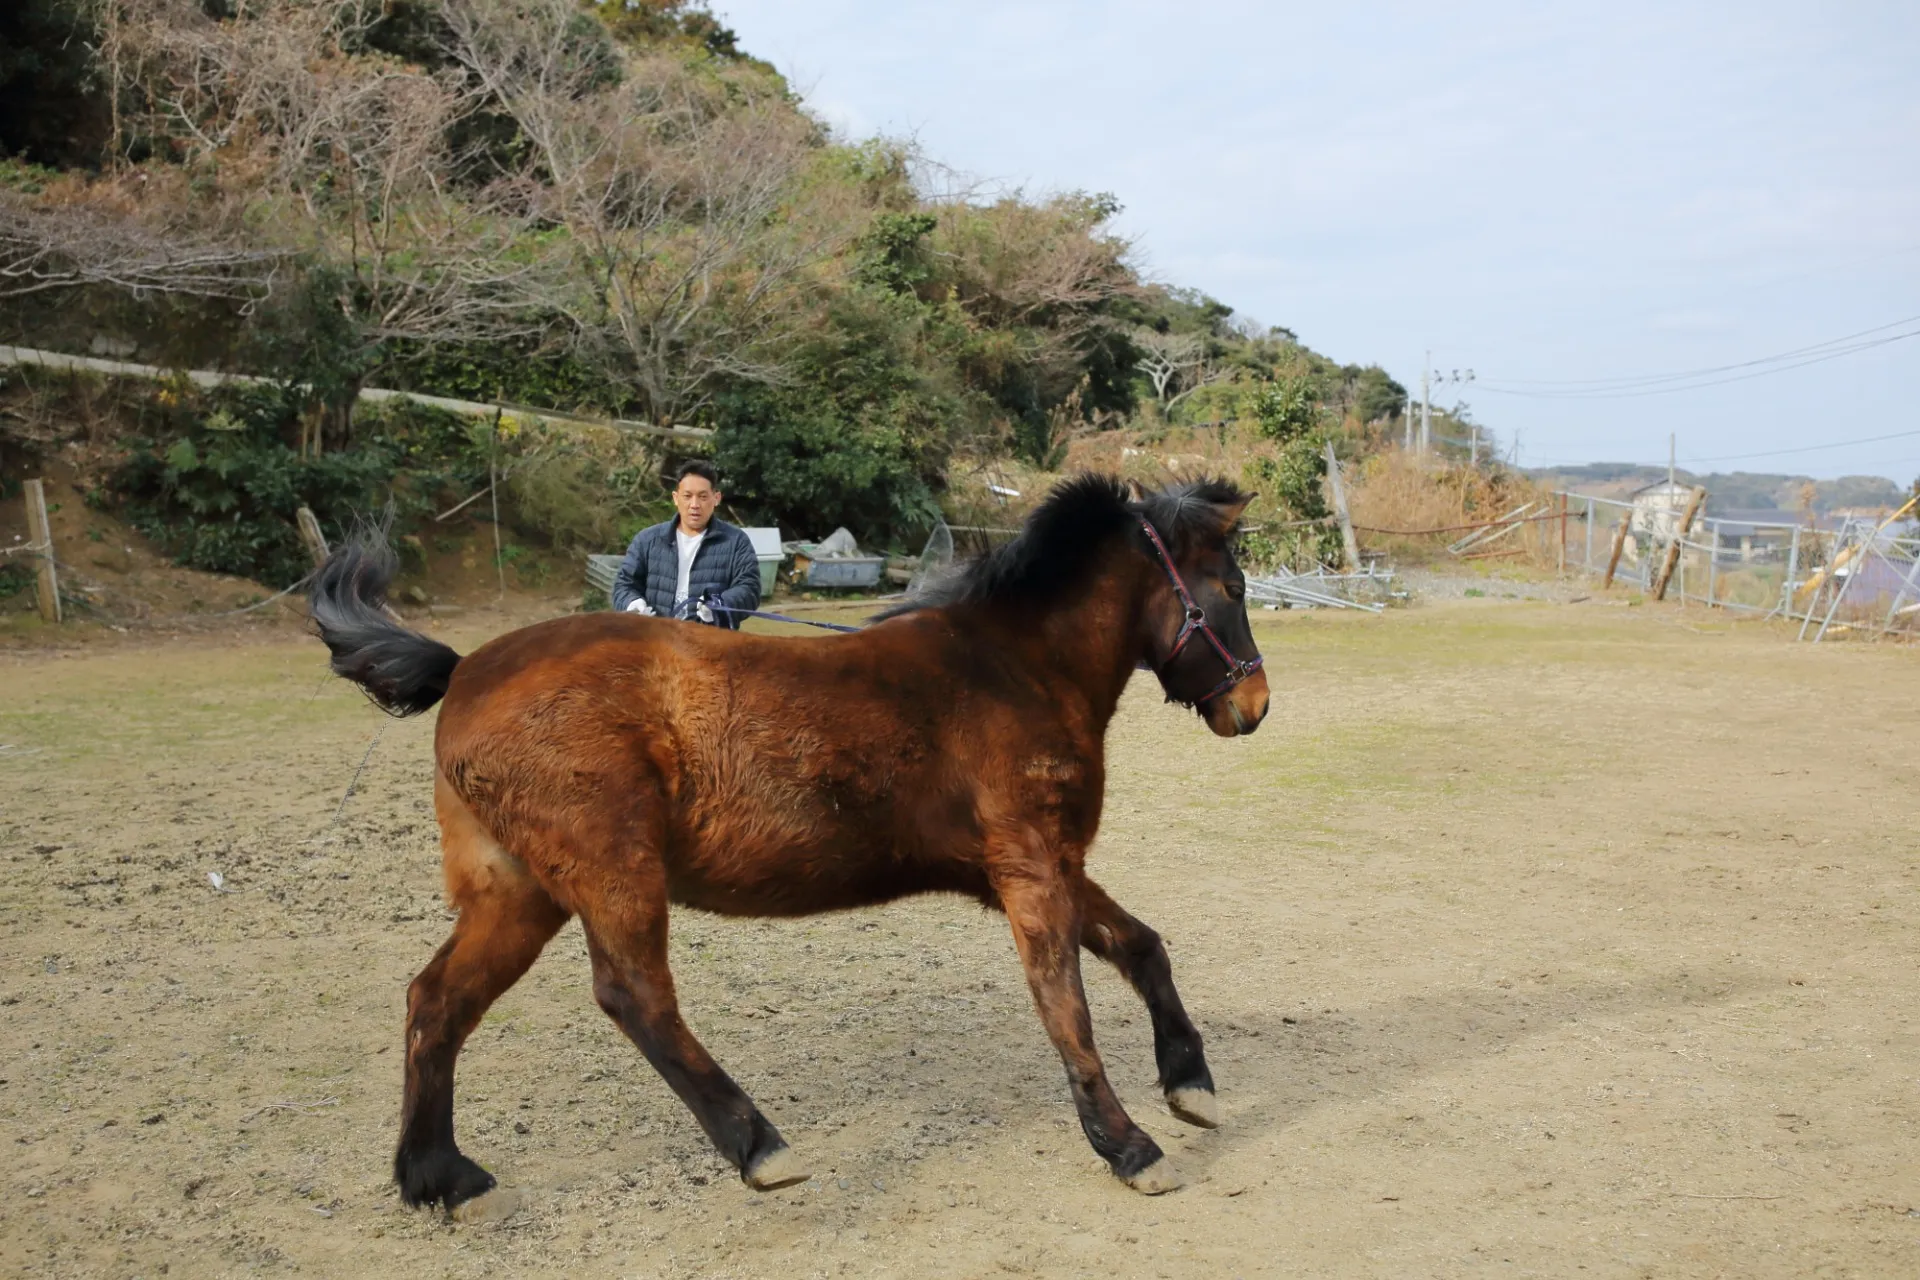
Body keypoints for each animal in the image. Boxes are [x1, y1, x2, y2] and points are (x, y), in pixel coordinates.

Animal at [308, 473, 1270, 1210]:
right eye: (1231, 589)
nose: (1253, 706)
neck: (1011, 669)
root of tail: (465, 668)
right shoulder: (1031, 867)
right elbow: (1067, 1008)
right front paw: (1130, 1147)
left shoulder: (1038, 867)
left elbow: (1141, 947)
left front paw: (1191, 1087)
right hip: (610, 874)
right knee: (633, 996)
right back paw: (761, 1147)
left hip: (518, 891)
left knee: (437, 1001)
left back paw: (437, 1176)